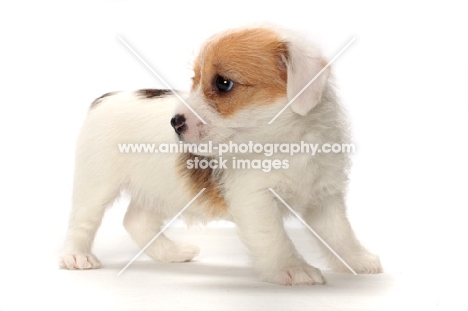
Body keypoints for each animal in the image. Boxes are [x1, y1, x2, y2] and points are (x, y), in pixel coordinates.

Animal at [58, 26, 382, 286]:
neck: (288, 143)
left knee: (136, 221)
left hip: (160, 188)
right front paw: (291, 268)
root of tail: (107, 97)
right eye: (196, 80)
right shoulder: (255, 199)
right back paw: (76, 256)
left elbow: (340, 233)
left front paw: (357, 260)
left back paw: (171, 253)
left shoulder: (325, 197)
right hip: (96, 184)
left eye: (223, 83)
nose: (175, 122)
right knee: (82, 221)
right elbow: (274, 236)